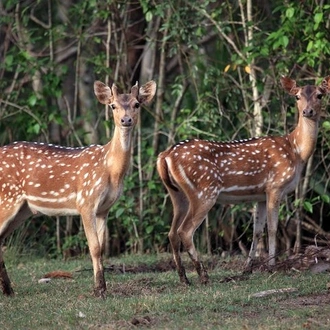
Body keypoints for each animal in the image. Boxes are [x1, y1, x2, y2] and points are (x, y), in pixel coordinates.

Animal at [0, 79, 157, 296]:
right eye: (113, 105)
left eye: (137, 104)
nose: (126, 120)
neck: (111, 170)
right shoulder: (86, 201)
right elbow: (94, 247)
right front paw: (98, 290)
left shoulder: (104, 208)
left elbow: (102, 247)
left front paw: (103, 288)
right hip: (7, 197)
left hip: (23, 210)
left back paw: (8, 290)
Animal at [157, 76, 330, 284]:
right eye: (297, 96)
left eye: (320, 95)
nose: (308, 111)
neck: (296, 151)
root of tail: (165, 155)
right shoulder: (275, 186)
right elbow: (273, 229)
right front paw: (271, 267)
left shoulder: (260, 195)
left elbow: (257, 231)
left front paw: (247, 269)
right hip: (204, 191)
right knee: (185, 231)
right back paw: (203, 276)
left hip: (177, 194)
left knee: (172, 232)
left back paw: (184, 278)